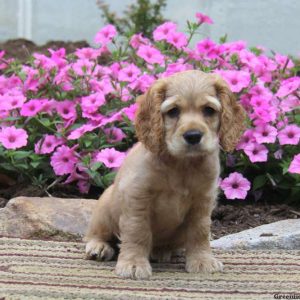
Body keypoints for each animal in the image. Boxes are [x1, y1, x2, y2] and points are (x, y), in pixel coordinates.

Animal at [84, 69, 246, 278]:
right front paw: (133, 264)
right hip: (105, 206)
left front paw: (202, 260)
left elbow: (200, 232)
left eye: (209, 110)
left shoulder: (202, 200)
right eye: (173, 111)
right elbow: (137, 231)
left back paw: (161, 251)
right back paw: (99, 247)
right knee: (96, 233)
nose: (193, 136)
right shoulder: (137, 197)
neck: (181, 164)